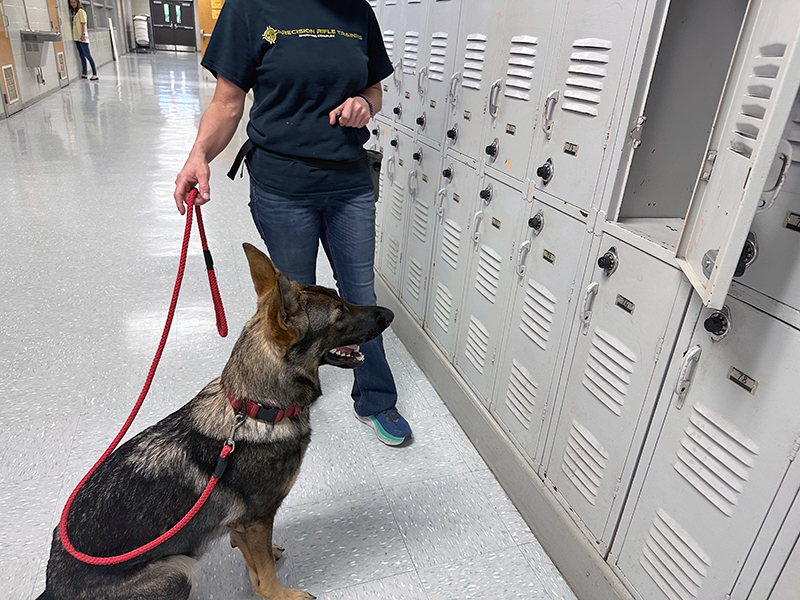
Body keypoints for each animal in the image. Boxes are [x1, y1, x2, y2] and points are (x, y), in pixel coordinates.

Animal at [39, 244, 396, 600]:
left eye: (341, 298)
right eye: (339, 314)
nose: (390, 314)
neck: (257, 408)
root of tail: (51, 587)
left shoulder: (247, 526)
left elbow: (253, 556)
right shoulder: (256, 519)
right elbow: (264, 578)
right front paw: (282, 594)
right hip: (177, 569)